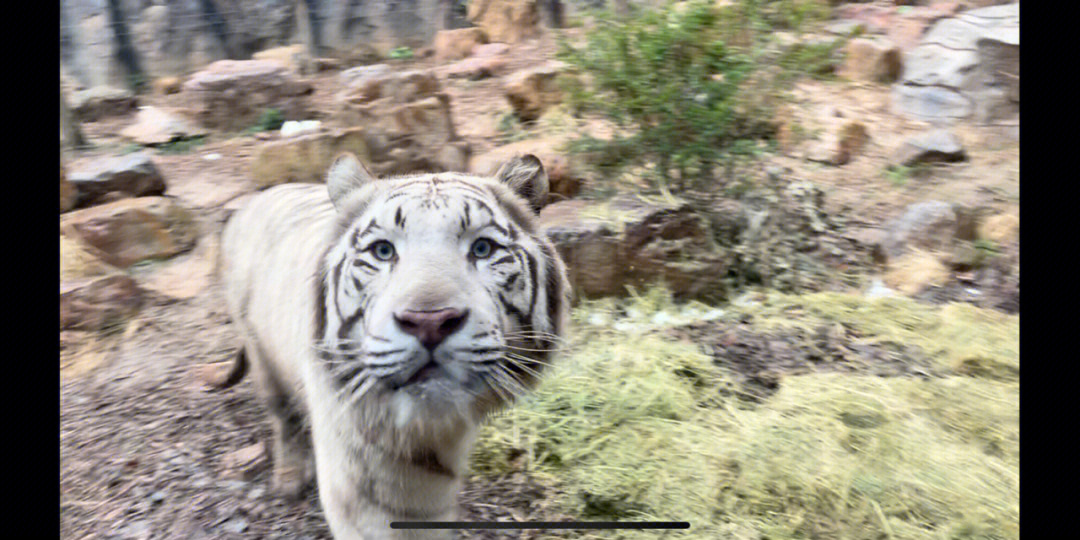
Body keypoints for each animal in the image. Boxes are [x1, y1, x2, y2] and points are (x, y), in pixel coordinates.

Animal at [219, 152, 574, 540]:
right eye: (383, 251)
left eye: (483, 248)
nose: (429, 322)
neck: (430, 432)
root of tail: (256, 198)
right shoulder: (357, 483)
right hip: (261, 355)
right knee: (283, 417)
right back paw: (289, 480)